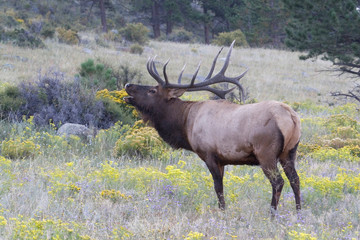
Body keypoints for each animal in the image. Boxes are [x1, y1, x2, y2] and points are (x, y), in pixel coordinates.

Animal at [124, 40, 300, 212]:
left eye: (152, 90)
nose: (127, 85)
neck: (186, 123)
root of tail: (291, 117)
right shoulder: (222, 159)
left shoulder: (209, 154)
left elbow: (218, 188)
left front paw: (222, 212)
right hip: (289, 152)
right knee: (295, 180)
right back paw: (299, 212)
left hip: (266, 153)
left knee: (278, 182)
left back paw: (272, 214)